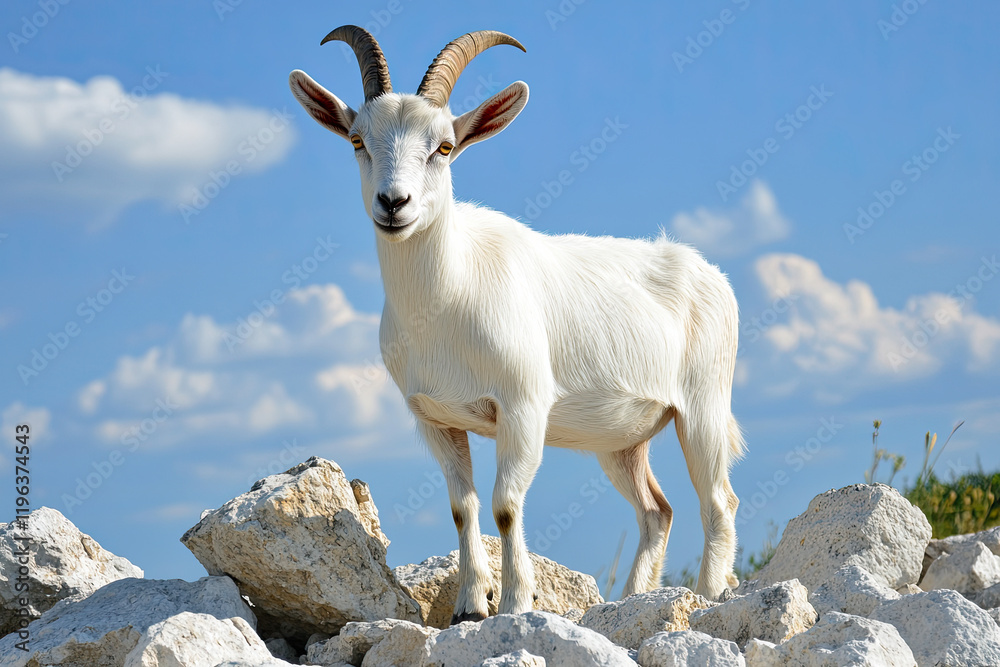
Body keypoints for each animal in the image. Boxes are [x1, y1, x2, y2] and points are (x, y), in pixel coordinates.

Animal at [289, 26, 745, 622]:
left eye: (444, 146)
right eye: (357, 140)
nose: (394, 203)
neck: (447, 301)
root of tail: (712, 276)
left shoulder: (524, 406)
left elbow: (506, 505)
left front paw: (512, 602)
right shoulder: (436, 418)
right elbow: (462, 506)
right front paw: (468, 606)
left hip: (702, 406)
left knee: (717, 500)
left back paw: (710, 596)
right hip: (621, 439)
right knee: (657, 509)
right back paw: (633, 599)